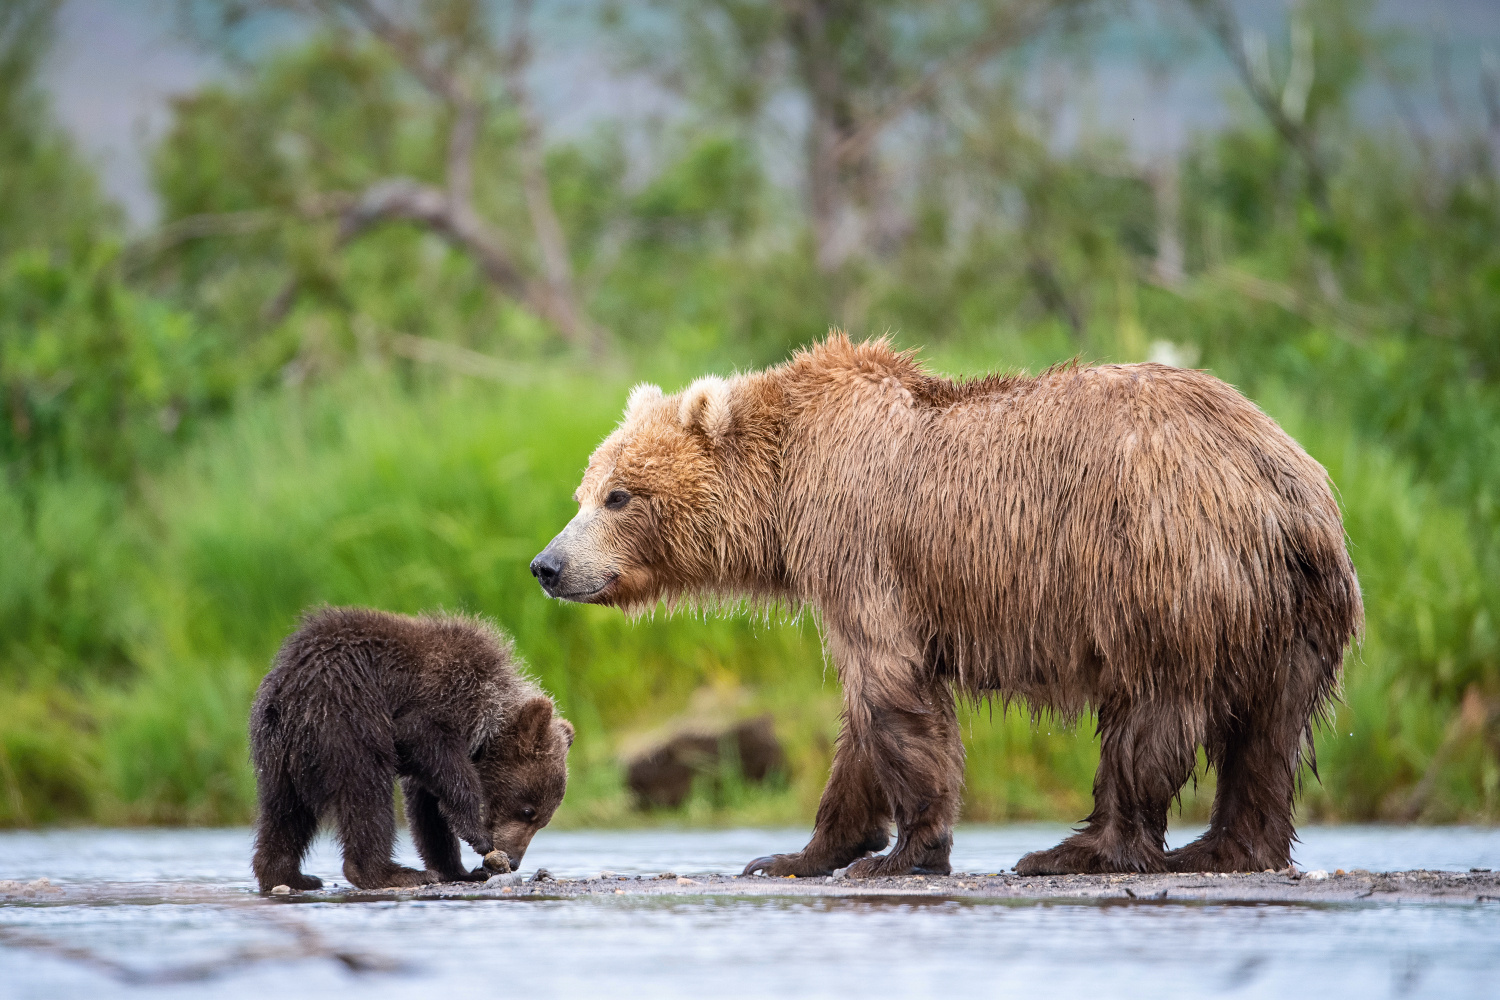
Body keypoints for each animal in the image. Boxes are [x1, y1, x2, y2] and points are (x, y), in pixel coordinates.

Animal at [534, 335, 1368, 875]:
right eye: (583, 490)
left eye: (618, 496)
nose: (548, 565)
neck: (785, 488)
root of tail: (1280, 479)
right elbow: (860, 721)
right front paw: (797, 854)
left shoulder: (861, 545)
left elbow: (890, 689)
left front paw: (906, 852)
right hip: (1294, 610)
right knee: (1268, 732)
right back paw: (1226, 848)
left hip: (1161, 568)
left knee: (1150, 716)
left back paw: (1075, 850)